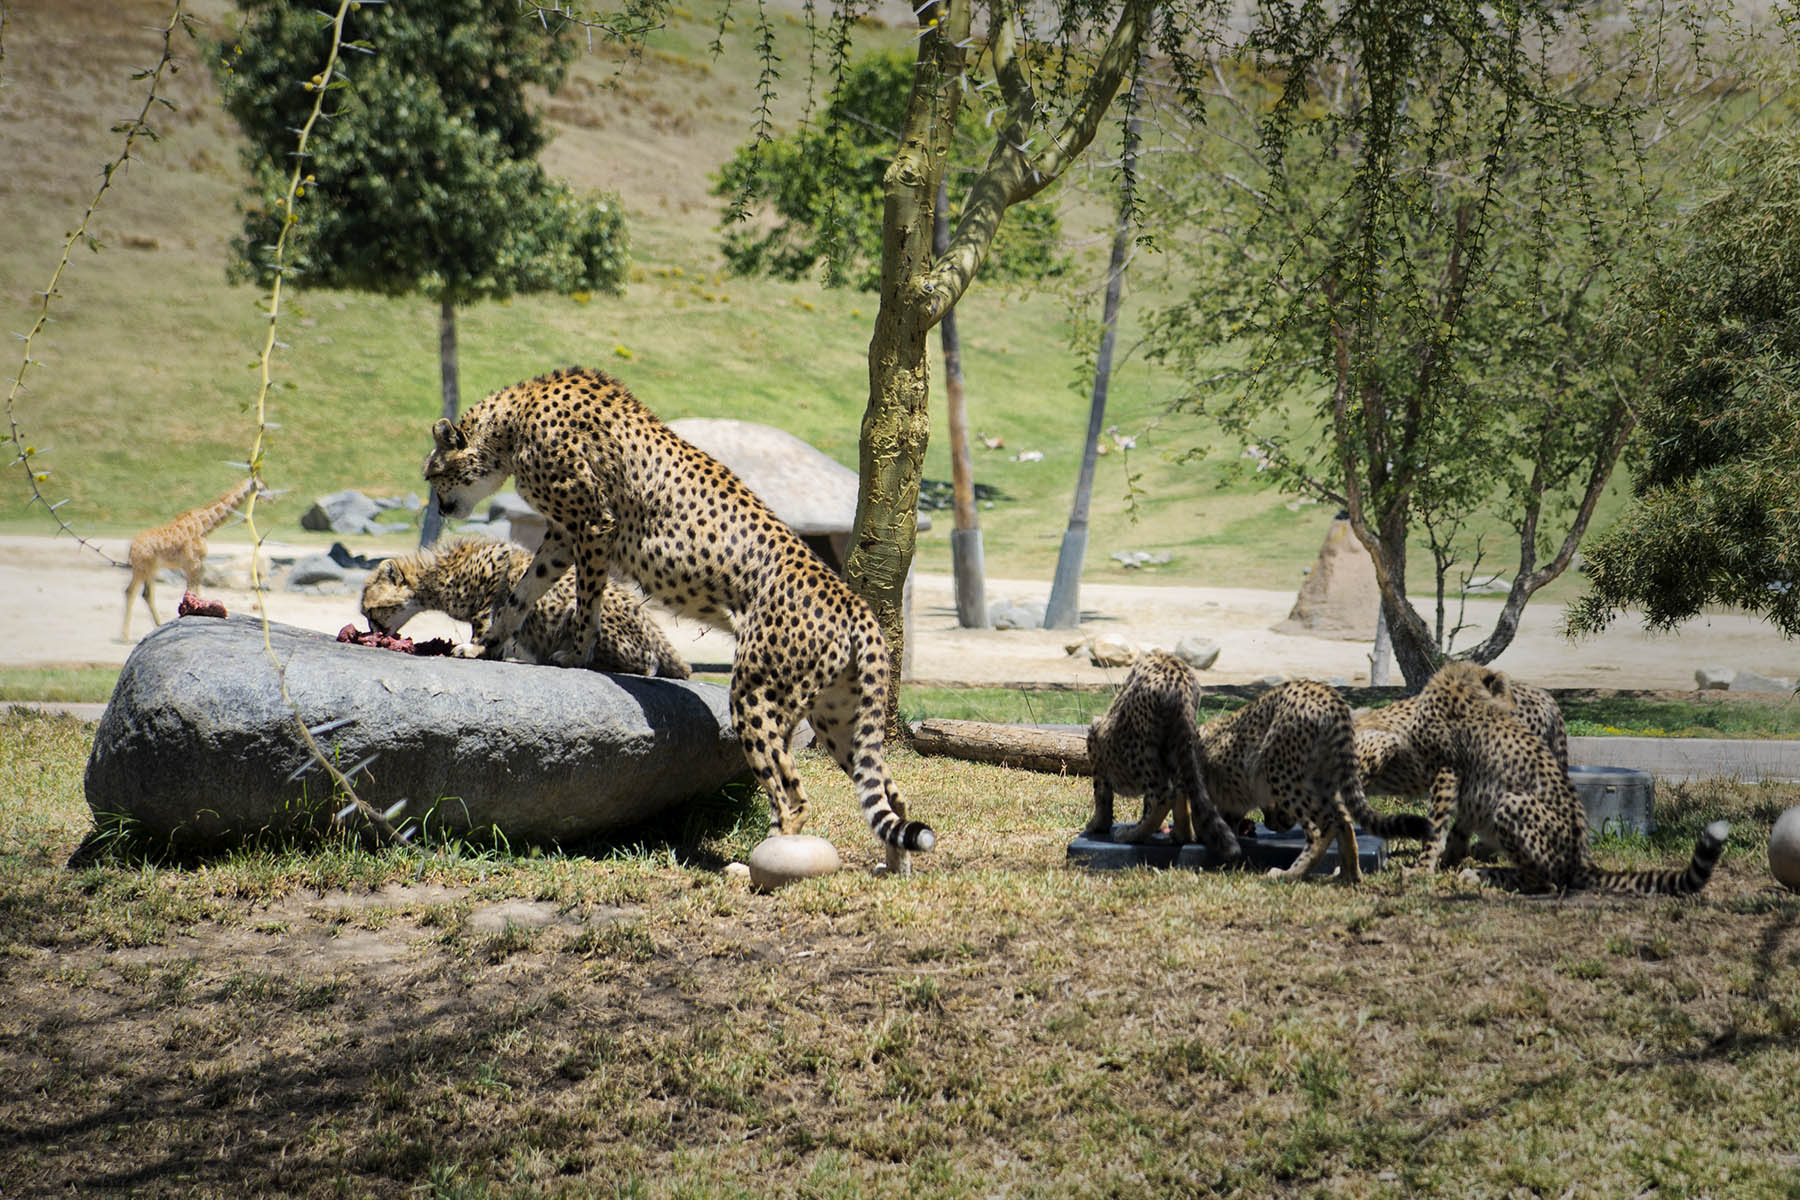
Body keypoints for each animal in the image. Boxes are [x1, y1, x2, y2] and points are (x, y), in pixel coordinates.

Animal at [119, 478, 259, 647]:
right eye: (261, 484)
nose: (269, 497)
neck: (204, 525)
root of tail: (131, 547)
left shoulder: (196, 565)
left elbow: (195, 590)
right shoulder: (192, 563)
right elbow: (194, 590)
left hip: (151, 569)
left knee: (146, 594)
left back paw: (157, 625)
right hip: (141, 568)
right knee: (131, 592)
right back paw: (126, 637)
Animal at [358, 539, 687, 680]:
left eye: (371, 613)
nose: (372, 632)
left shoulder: (496, 574)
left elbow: (489, 623)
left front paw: (475, 650)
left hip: (579, 611)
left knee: (647, 663)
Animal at [415, 367, 936, 863]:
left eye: (431, 477)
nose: (440, 507)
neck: (512, 424)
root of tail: (857, 606)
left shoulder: (593, 525)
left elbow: (587, 599)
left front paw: (574, 655)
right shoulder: (564, 533)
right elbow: (522, 594)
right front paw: (484, 646)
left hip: (757, 694)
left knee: (792, 796)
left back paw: (759, 866)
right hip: (839, 717)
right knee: (889, 795)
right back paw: (891, 868)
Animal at [1072, 658, 1245, 863]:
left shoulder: (1097, 738)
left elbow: (1101, 792)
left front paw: (1098, 824)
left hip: (1136, 747)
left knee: (1163, 793)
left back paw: (1132, 835)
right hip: (1179, 743)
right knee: (1179, 788)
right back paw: (1180, 835)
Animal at [1396, 662, 1720, 895]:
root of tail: (1582, 858)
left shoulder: (1447, 772)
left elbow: (1436, 825)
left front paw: (1422, 868)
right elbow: (1456, 828)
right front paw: (1448, 858)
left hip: (1513, 803)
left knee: (1547, 882)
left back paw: (1482, 875)